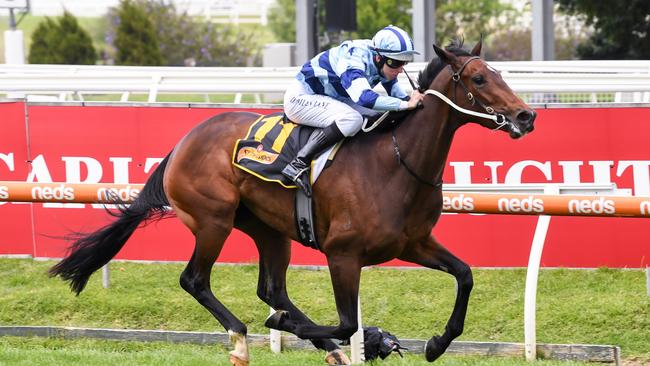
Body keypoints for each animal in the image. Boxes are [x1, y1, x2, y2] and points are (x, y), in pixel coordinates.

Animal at [49, 38, 532, 364]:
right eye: (478, 78)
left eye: (502, 74)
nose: (527, 115)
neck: (397, 162)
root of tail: (184, 141)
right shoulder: (343, 254)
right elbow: (347, 321)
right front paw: (298, 328)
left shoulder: (412, 243)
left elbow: (465, 275)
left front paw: (434, 344)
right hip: (213, 220)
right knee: (195, 280)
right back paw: (242, 337)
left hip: (268, 229)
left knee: (272, 288)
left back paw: (323, 345)